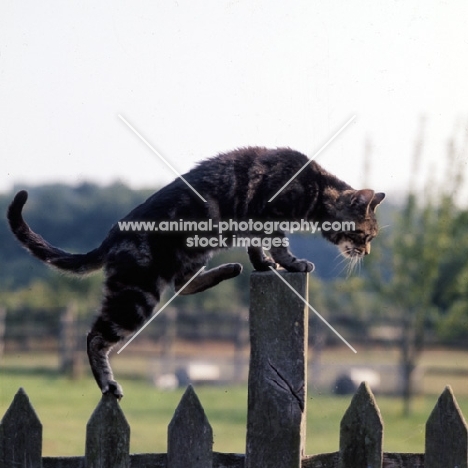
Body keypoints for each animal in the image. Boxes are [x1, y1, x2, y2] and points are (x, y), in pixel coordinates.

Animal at [7, 146, 386, 398]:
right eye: (365, 236)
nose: (367, 252)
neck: (316, 188)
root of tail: (113, 234)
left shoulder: (255, 225)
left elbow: (257, 249)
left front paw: (265, 265)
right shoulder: (270, 216)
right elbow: (277, 245)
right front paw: (291, 263)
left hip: (188, 259)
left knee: (181, 285)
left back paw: (230, 268)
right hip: (138, 296)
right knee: (95, 337)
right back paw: (108, 384)